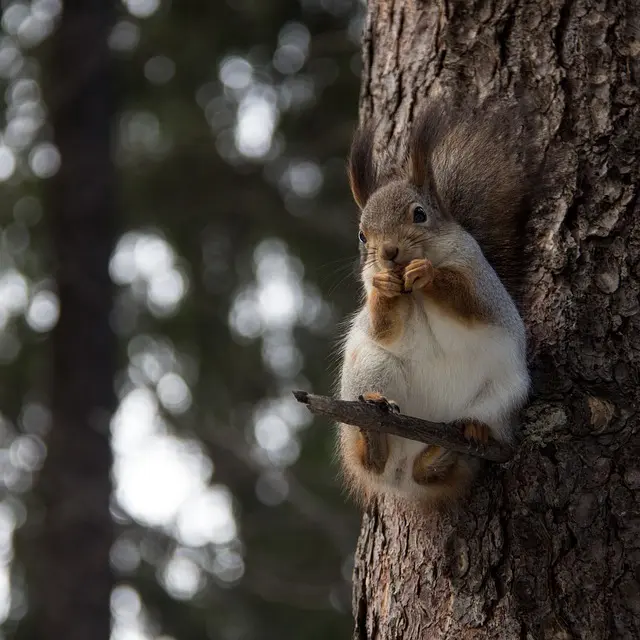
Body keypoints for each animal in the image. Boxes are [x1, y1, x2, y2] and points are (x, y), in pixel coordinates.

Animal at [337, 101, 537, 505]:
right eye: (363, 235)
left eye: (419, 214)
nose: (389, 252)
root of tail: (401, 477)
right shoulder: (378, 311)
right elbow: (385, 328)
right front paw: (384, 286)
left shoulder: (479, 281)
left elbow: (467, 302)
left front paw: (426, 272)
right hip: (370, 368)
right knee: (372, 459)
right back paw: (374, 432)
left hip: (503, 393)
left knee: (437, 464)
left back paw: (457, 443)